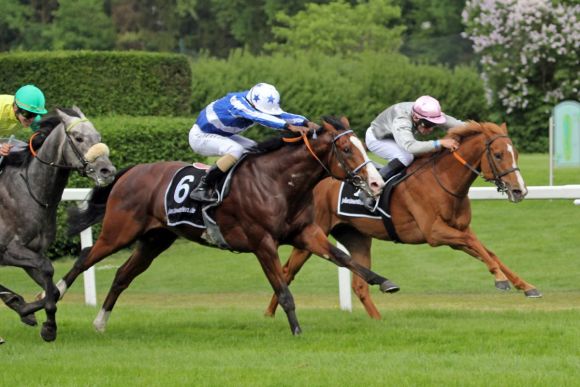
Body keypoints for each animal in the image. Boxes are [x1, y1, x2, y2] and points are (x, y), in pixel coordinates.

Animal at [0, 107, 115, 342]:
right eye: (78, 138)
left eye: (98, 137)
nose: (107, 171)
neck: (32, 191)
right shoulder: (9, 249)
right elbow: (47, 268)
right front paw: (45, 323)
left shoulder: (32, 252)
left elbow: (53, 289)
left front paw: (30, 313)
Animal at [54, 116, 398, 334]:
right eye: (346, 149)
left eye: (360, 145)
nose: (376, 182)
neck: (278, 182)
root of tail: (130, 172)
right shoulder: (262, 242)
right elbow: (283, 290)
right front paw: (297, 330)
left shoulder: (306, 232)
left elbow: (344, 258)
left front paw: (385, 282)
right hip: (118, 231)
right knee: (84, 259)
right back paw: (50, 298)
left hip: (155, 240)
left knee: (122, 275)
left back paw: (100, 322)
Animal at [266, 122, 540, 322]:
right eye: (498, 155)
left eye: (515, 154)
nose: (520, 190)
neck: (444, 181)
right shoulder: (435, 233)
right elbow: (479, 248)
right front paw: (500, 280)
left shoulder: (458, 232)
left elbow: (488, 251)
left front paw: (526, 286)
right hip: (312, 235)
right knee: (287, 272)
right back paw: (269, 314)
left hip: (357, 238)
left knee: (359, 284)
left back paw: (378, 319)